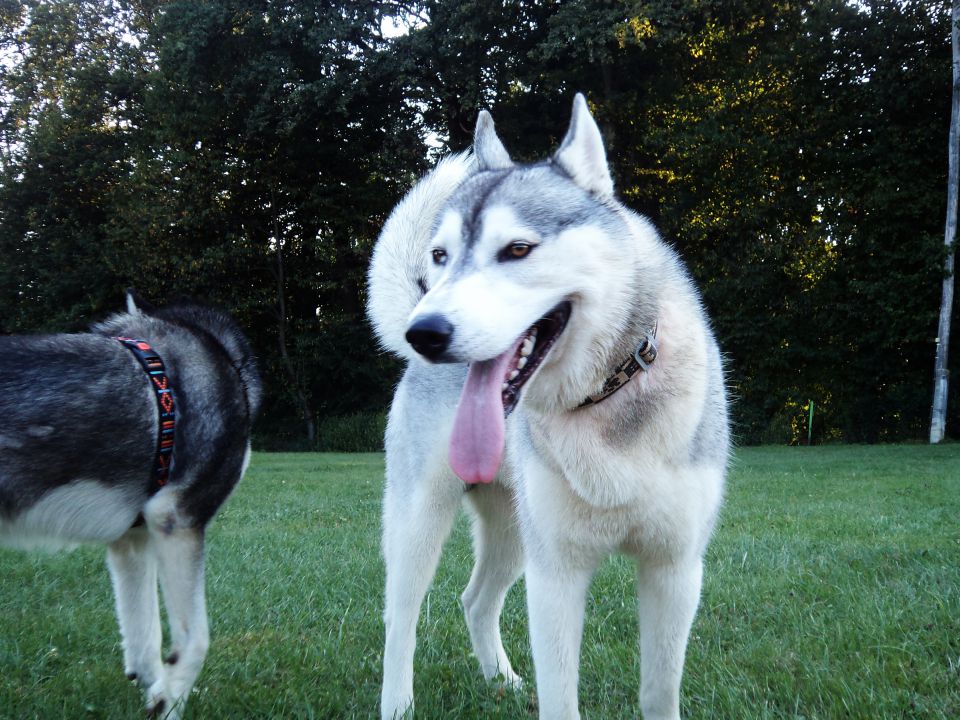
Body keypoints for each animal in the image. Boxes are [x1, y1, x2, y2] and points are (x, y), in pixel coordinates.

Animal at [0, 294, 262, 720]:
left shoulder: (132, 540)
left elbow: (145, 639)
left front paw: (157, 691)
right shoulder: (177, 519)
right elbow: (195, 639)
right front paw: (169, 702)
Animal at [368, 95, 728, 720]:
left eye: (517, 249)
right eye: (440, 255)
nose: (425, 333)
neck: (606, 393)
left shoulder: (675, 569)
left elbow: (660, 690)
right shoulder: (555, 574)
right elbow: (561, 695)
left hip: (514, 529)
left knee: (475, 599)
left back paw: (503, 680)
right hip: (421, 521)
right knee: (401, 620)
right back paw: (398, 704)